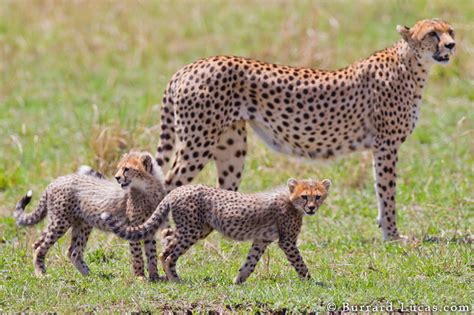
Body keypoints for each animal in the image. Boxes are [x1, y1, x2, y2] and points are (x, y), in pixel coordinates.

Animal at [155, 18, 456, 241]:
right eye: (432, 33)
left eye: (450, 31)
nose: (452, 45)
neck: (413, 65)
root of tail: (189, 66)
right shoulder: (386, 144)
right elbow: (387, 192)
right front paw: (393, 236)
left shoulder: (381, 145)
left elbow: (382, 190)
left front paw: (388, 231)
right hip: (198, 141)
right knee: (168, 184)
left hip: (231, 145)